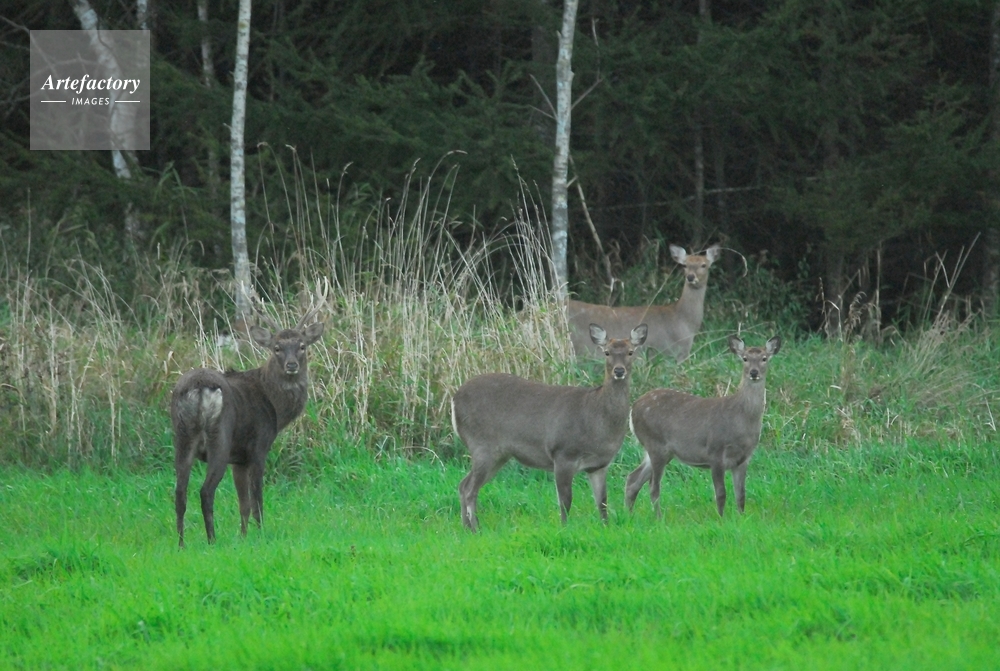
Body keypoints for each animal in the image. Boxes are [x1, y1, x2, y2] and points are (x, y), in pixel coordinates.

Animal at [171, 309, 325, 547]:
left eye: (302, 346)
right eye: (277, 348)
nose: (291, 365)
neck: (274, 406)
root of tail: (199, 387)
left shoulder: (239, 460)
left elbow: (243, 503)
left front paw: (243, 536)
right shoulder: (258, 447)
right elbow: (256, 500)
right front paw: (260, 534)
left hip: (182, 437)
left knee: (179, 492)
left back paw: (181, 544)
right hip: (220, 438)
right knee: (206, 491)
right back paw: (212, 540)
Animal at [452, 323, 648, 532]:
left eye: (630, 352)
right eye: (607, 352)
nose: (619, 371)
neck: (597, 422)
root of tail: (454, 399)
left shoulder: (599, 464)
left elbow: (602, 501)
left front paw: (606, 527)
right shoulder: (562, 453)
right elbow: (565, 500)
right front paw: (564, 528)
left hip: (498, 454)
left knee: (463, 485)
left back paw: (467, 527)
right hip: (482, 444)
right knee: (469, 488)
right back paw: (475, 529)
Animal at [625, 334, 781, 518]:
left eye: (764, 358)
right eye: (745, 358)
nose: (754, 372)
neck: (741, 420)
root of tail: (633, 408)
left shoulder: (743, 458)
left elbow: (741, 495)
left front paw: (742, 518)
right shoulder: (715, 452)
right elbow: (721, 493)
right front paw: (721, 519)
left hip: (660, 451)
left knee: (633, 479)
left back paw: (628, 514)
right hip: (655, 443)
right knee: (653, 486)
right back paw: (658, 518)